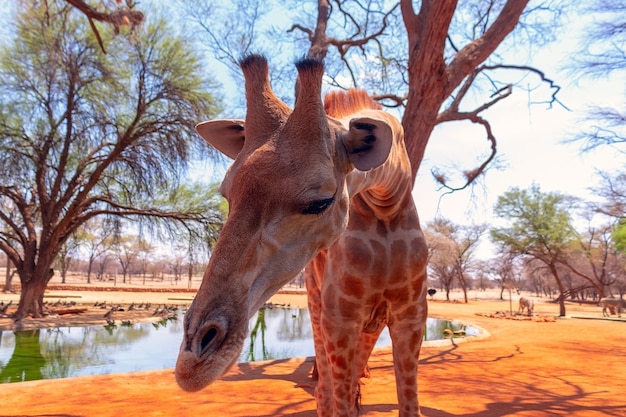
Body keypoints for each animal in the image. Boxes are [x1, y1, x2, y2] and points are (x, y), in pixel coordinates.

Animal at [176, 53, 428, 414]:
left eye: (320, 202)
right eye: (227, 194)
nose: (191, 366)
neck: (386, 201)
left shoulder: (412, 314)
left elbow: (409, 405)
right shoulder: (339, 316)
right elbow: (336, 400)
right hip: (317, 304)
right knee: (325, 390)